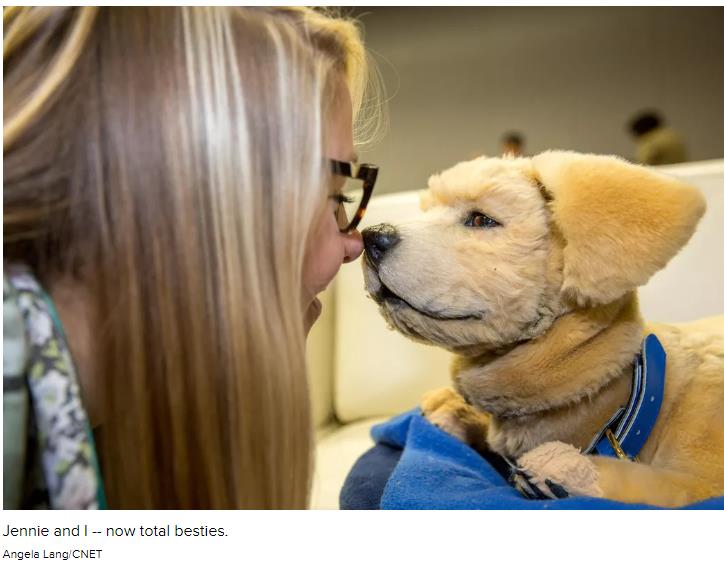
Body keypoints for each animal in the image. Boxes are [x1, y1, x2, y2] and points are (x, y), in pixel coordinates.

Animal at [362, 152, 724, 508]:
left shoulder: (701, 480)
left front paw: (566, 470)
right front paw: (453, 409)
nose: (371, 236)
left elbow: (670, 489)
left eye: (480, 220)